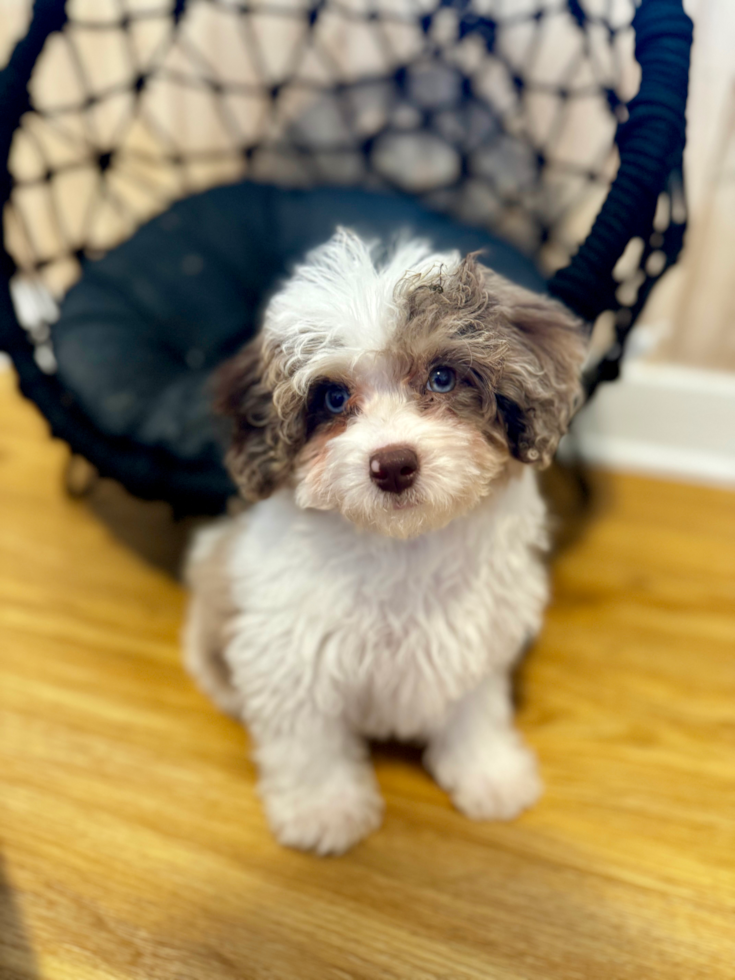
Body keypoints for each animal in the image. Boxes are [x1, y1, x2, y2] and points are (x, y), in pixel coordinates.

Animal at [184, 230, 588, 856]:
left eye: (443, 377)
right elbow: (308, 742)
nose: (393, 464)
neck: (403, 545)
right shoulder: (292, 653)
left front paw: (490, 775)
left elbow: (476, 711)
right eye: (331, 397)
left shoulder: (474, 638)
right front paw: (324, 810)